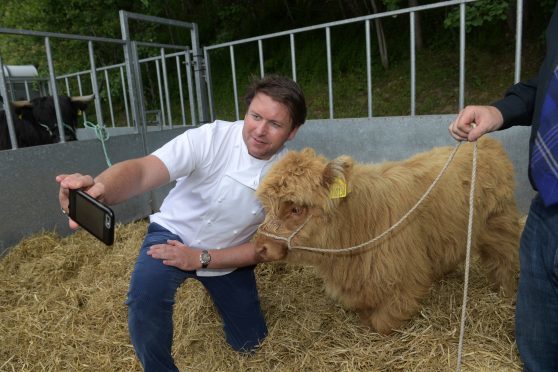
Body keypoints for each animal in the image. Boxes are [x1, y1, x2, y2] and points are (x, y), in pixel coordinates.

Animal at [256, 137, 524, 334]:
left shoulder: (404, 279)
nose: (260, 247)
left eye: (295, 209)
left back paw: (505, 292)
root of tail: (487, 143)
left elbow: (382, 322)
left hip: (499, 224)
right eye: (267, 207)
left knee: (505, 260)